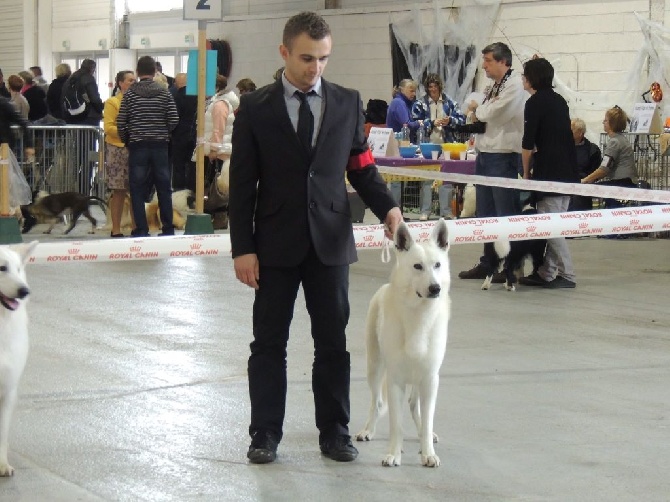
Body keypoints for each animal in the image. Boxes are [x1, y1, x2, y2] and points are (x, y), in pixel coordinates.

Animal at [356, 220, 452, 466]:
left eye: (437, 265)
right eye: (417, 266)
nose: (435, 288)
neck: (419, 316)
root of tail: (383, 287)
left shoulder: (430, 379)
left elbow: (427, 420)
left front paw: (428, 453)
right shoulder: (395, 380)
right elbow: (395, 424)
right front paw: (393, 454)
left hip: (418, 379)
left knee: (413, 405)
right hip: (375, 368)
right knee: (377, 403)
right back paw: (368, 431)